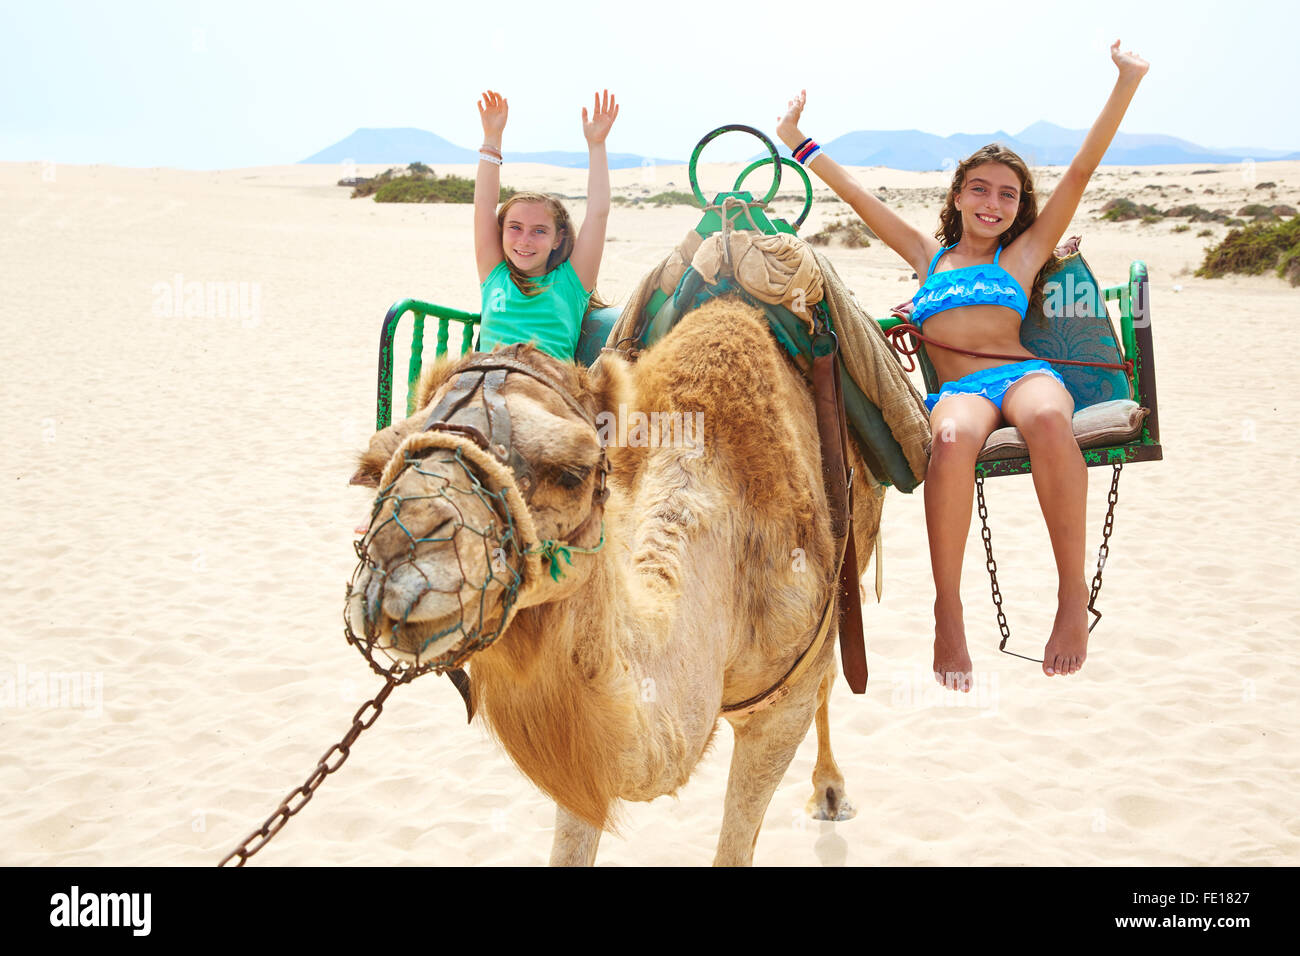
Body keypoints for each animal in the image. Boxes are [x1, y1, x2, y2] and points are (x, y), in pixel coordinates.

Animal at [348, 295, 883, 865]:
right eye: (374, 467)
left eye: (573, 471)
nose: (399, 559)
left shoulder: (782, 708)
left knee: (832, 672)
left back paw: (830, 792)